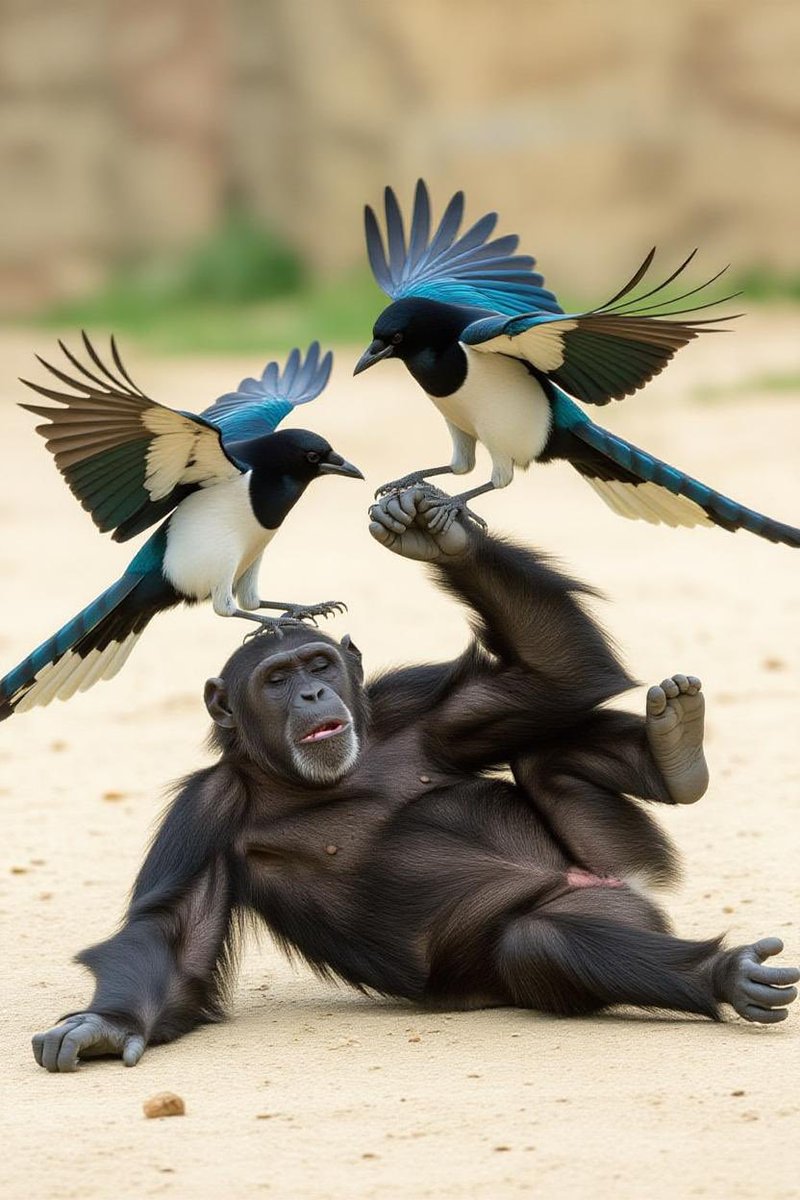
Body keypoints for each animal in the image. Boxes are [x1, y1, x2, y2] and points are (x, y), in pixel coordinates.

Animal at [32, 488, 798, 1071]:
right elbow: (172, 936)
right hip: (585, 911)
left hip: (607, 860)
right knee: (542, 941)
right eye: (275, 679)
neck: (310, 779)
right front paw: (103, 1026)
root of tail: (619, 883)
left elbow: (550, 680)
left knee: (542, 745)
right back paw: (716, 972)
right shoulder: (203, 813)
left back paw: (674, 753)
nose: (311, 693)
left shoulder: (415, 706)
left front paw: (438, 532)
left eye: (318, 663)